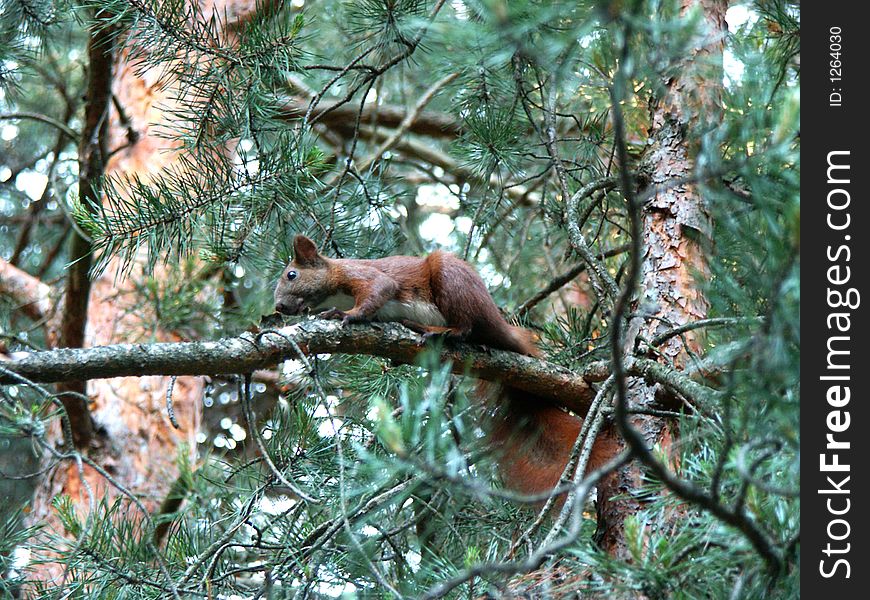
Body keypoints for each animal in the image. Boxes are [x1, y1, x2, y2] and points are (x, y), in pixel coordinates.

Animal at [274, 234, 608, 496]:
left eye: (291, 275)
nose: (278, 307)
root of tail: (498, 322)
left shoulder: (363, 275)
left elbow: (377, 291)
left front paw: (348, 315)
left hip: (450, 279)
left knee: (466, 327)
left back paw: (435, 331)